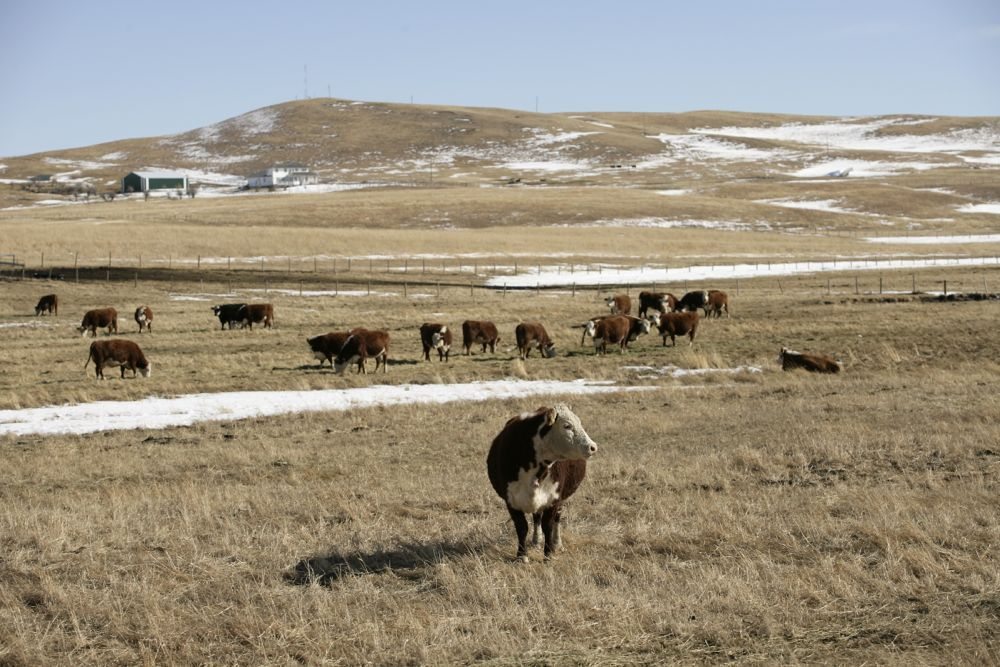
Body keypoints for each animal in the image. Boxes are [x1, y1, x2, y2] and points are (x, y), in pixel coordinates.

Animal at [486, 404, 598, 561]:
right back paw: (536, 539)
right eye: (567, 426)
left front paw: (549, 554)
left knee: (556, 519)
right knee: (536, 517)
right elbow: (522, 527)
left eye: (579, 423)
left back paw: (557, 543)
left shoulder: (553, 499)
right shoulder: (511, 500)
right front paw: (522, 556)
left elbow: (548, 526)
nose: (593, 447)